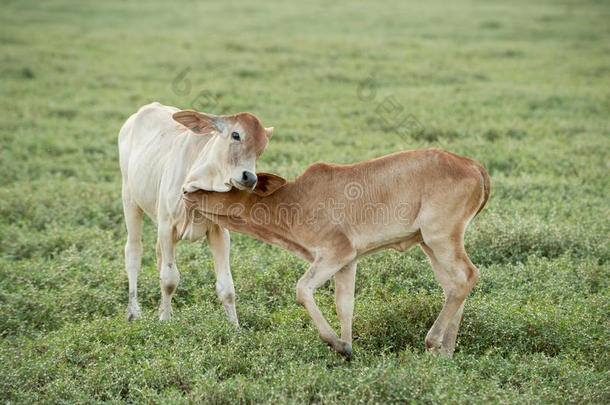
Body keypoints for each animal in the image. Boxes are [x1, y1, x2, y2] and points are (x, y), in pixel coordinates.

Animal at [183, 148, 486, 356]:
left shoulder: (335, 253)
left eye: (230, 184)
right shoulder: (347, 262)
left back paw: (433, 342)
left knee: (467, 277)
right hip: (429, 245)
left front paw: (337, 344)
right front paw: (348, 346)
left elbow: (302, 289)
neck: (293, 198)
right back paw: (445, 353)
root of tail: (472, 165)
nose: (187, 192)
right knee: (453, 287)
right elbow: (344, 305)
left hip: (441, 238)